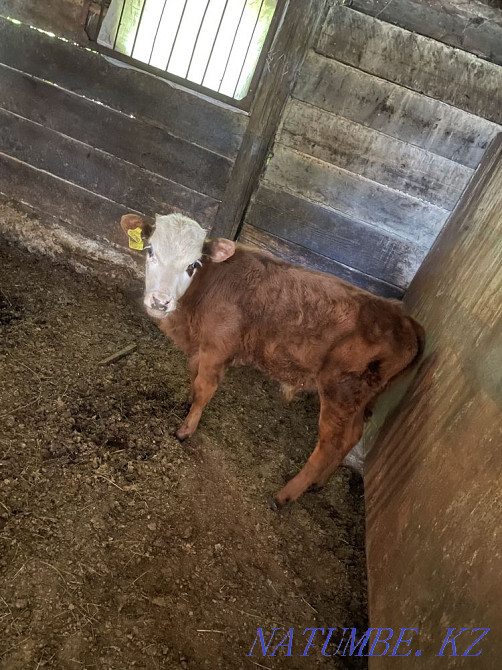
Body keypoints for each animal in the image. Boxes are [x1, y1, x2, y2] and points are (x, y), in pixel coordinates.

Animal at [120, 212, 425, 507]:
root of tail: (404, 319)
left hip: (340, 392)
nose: (160, 302)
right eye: (150, 250)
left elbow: (204, 390)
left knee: (332, 443)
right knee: (353, 435)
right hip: (361, 398)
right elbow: (194, 382)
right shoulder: (201, 349)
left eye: (193, 264)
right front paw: (186, 402)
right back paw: (318, 484)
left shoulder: (217, 350)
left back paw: (285, 495)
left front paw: (186, 430)